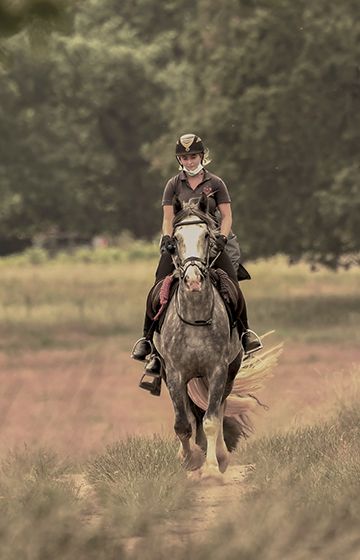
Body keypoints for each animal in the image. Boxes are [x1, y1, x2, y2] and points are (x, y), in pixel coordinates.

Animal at [153, 194, 249, 482]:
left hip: (229, 372)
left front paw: (211, 468)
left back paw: (220, 454)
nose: (193, 280)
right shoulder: (175, 373)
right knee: (190, 413)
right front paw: (189, 459)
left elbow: (211, 420)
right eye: (174, 240)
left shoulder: (217, 370)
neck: (195, 314)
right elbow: (183, 424)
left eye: (207, 235)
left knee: (219, 408)